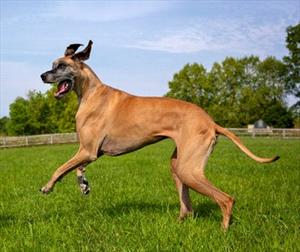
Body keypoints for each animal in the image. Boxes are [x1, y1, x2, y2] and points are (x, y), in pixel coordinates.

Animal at [39, 40, 278, 229]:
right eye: (52, 65)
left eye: (62, 66)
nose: (42, 75)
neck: (91, 92)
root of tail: (211, 121)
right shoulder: (90, 152)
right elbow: (77, 168)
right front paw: (83, 185)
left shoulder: (88, 150)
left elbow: (60, 168)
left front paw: (48, 186)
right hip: (178, 166)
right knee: (188, 207)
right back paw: (179, 223)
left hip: (189, 170)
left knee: (226, 199)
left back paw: (223, 231)